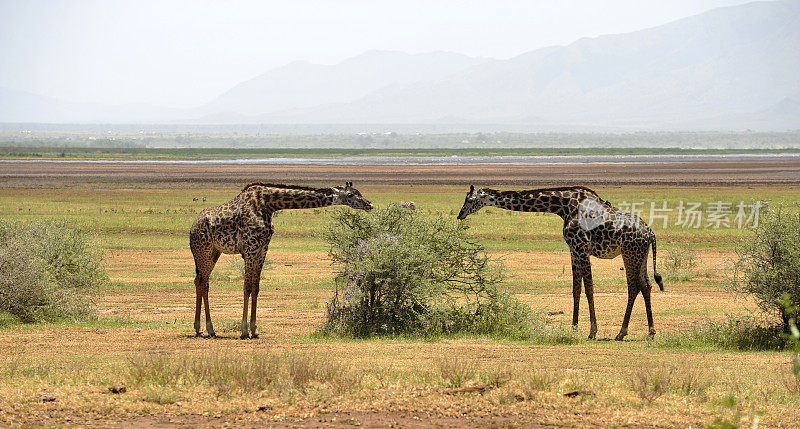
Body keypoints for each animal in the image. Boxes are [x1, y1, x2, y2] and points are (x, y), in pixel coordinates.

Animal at [189, 181, 374, 338]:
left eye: (359, 192)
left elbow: (255, 288)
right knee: (203, 282)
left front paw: (254, 330)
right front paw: (244, 331)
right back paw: (209, 329)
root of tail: (192, 228)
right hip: (204, 250)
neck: (269, 205)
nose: (369, 204)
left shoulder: (263, 249)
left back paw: (201, 329)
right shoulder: (250, 248)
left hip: (214, 252)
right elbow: (247, 288)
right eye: (350, 194)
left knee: (201, 281)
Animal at [456, 186, 664, 340]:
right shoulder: (573, 249)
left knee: (633, 286)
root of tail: (651, 233)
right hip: (640, 254)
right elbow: (576, 289)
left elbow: (589, 288)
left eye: (469, 200)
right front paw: (573, 328)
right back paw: (651, 332)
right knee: (645, 285)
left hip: (630, 253)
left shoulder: (581, 248)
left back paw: (621, 332)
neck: (562, 207)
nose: (460, 215)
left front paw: (592, 331)